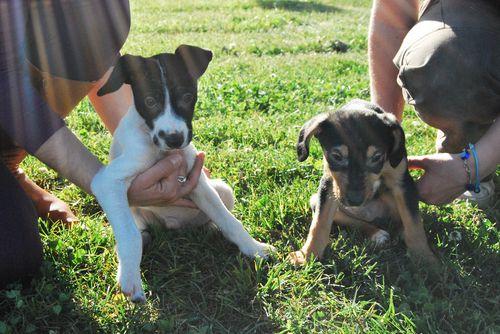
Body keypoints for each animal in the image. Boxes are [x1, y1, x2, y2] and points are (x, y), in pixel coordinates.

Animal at [92, 44, 276, 302]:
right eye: (149, 101)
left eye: (187, 97)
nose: (174, 138)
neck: (161, 150)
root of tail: (172, 225)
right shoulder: (108, 180)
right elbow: (129, 235)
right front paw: (130, 279)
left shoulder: (198, 181)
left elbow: (230, 221)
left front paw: (254, 249)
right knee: (138, 230)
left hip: (222, 189)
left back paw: (210, 229)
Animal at [290, 99, 438, 266]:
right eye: (336, 156)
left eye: (377, 157)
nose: (355, 201)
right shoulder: (328, 183)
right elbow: (319, 223)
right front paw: (307, 255)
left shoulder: (403, 183)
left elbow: (414, 223)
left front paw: (425, 259)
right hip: (315, 199)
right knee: (358, 223)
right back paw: (376, 233)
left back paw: (401, 232)